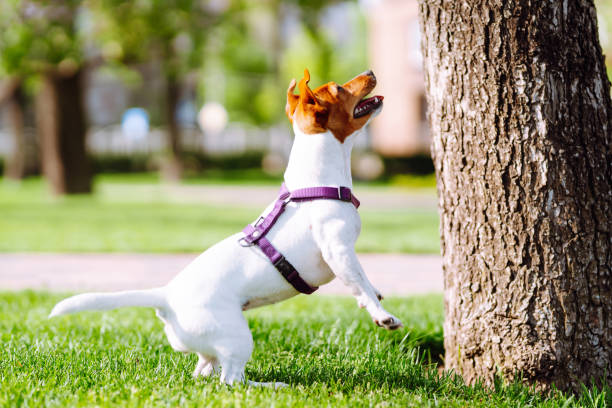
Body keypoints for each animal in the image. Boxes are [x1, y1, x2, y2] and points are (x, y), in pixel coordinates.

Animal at [51, 68, 402, 388]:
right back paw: (272, 386)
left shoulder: (344, 255)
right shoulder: (337, 250)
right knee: (231, 381)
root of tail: (166, 296)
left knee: (205, 370)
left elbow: (363, 280)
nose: (370, 71)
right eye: (338, 88)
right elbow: (358, 282)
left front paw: (375, 294)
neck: (315, 184)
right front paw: (382, 314)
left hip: (212, 344)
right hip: (238, 337)